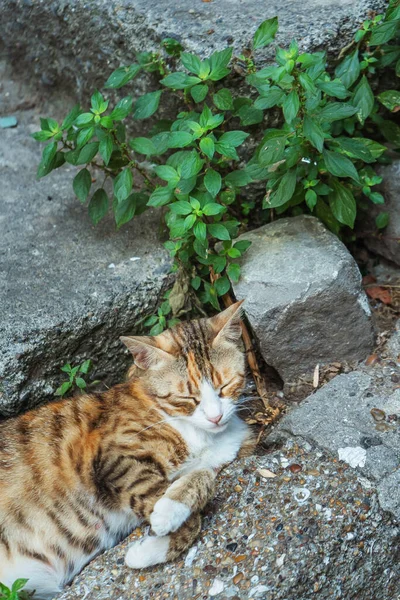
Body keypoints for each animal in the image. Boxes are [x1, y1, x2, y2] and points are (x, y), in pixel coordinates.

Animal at [0, 304, 253, 600]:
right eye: (188, 398)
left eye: (225, 386)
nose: (215, 417)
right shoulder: (113, 457)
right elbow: (187, 505)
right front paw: (159, 528)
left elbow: (205, 476)